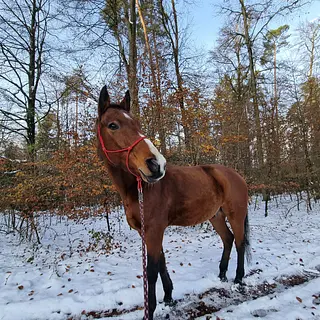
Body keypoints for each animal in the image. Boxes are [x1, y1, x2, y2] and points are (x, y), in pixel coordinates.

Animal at [96, 86, 251, 318]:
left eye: (137, 124)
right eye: (113, 125)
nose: (156, 164)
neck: (140, 189)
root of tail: (236, 175)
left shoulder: (154, 230)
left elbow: (151, 271)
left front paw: (151, 309)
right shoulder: (146, 231)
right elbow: (161, 263)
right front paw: (168, 297)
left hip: (236, 215)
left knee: (240, 242)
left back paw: (239, 278)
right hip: (216, 216)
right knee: (228, 239)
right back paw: (222, 275)